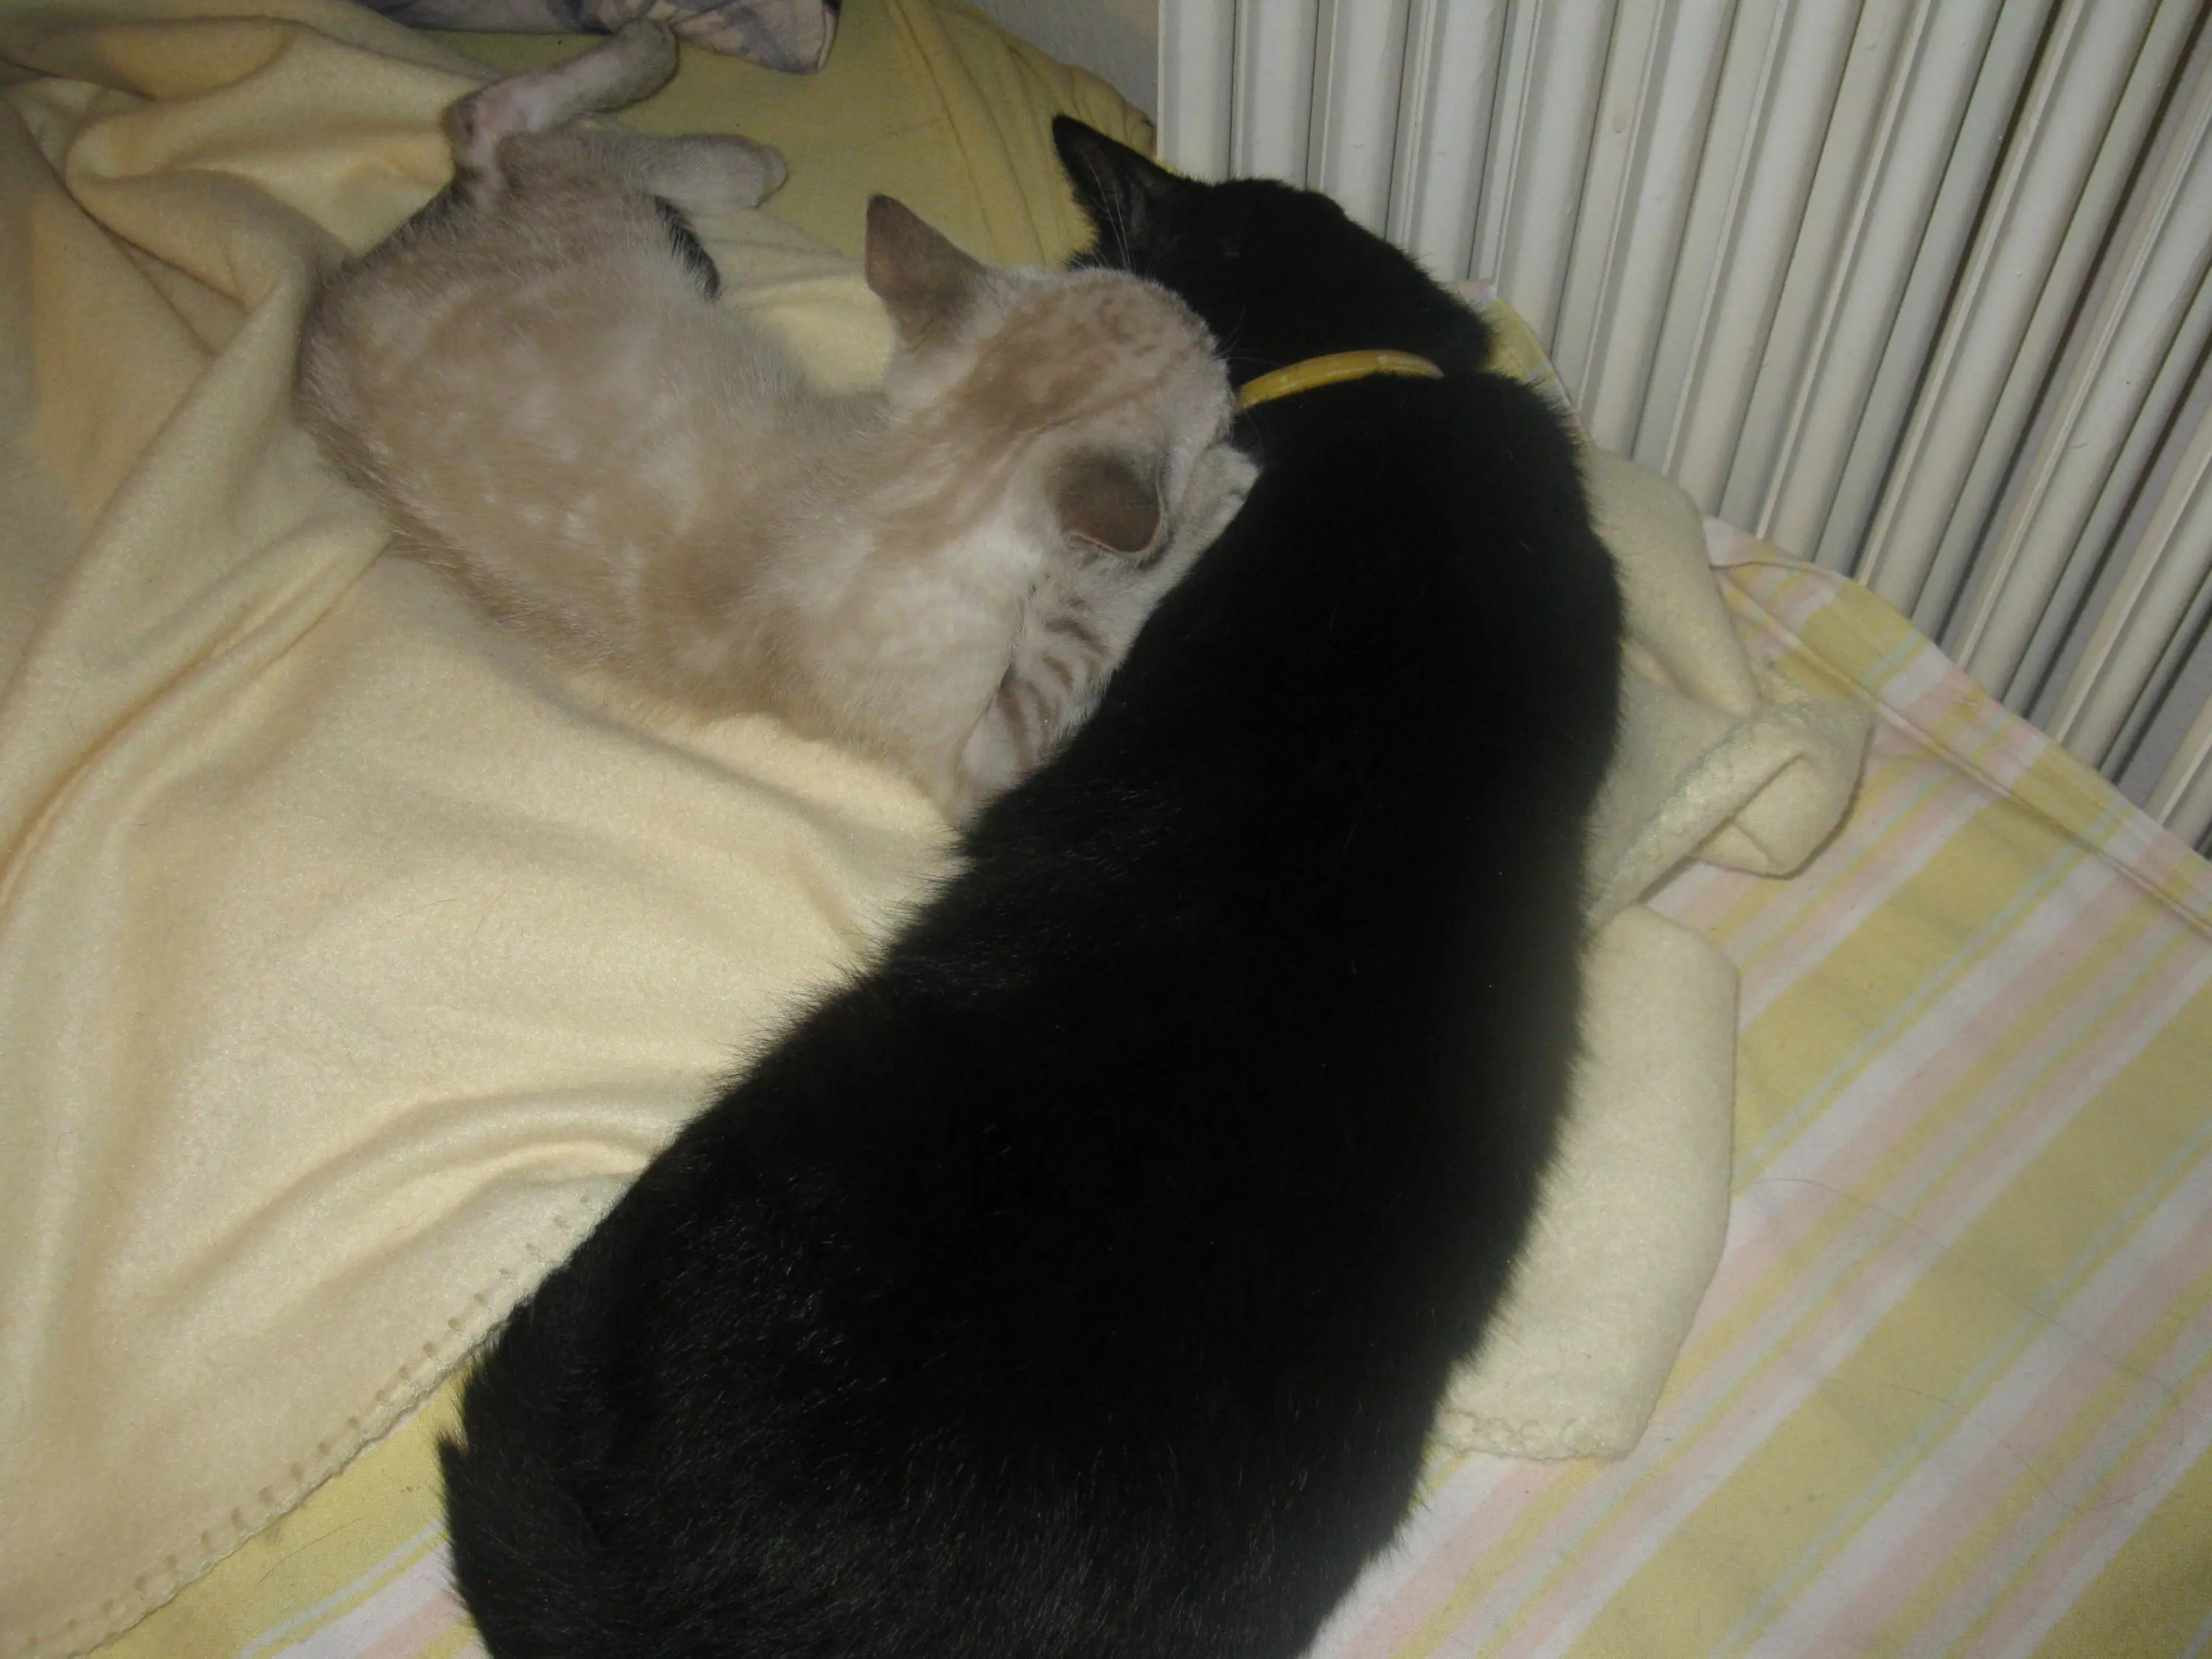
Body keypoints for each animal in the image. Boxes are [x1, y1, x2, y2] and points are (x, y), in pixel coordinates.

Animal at [296, 22, 1253, 820]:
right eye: (1216, 368)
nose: (1218, 336)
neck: (931, 474)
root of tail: (328, 306)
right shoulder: (984, 756)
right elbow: (1098, 609)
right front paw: (1216, 490)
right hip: (608, 228)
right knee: (494, 121)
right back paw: (689, 98)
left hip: (620, 237)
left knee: (498, 133)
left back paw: (715, 140)